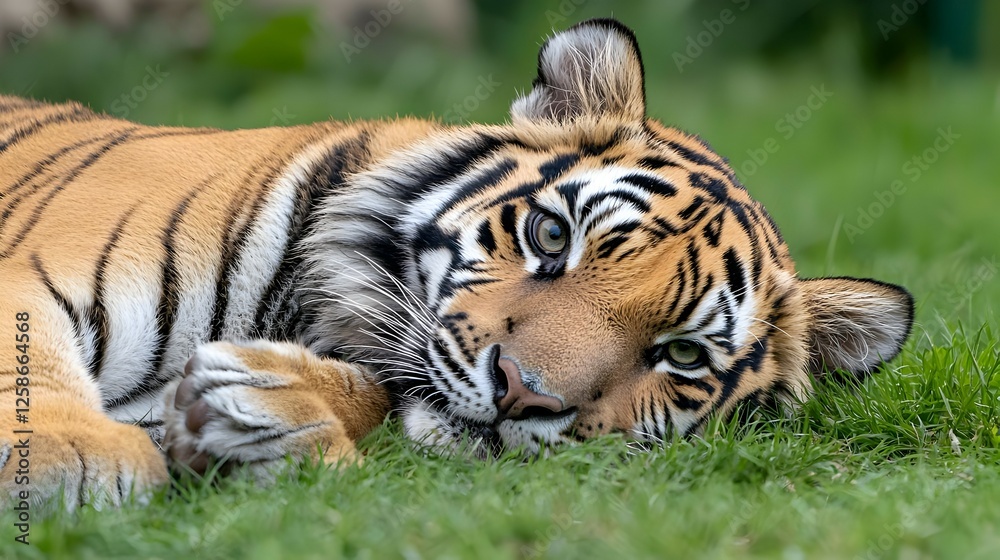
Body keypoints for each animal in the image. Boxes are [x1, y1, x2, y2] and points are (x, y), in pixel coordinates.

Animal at [0, 18, 914, 511]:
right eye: (552, 237)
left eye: (681, 355)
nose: (521, 394)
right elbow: (31, 356)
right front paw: (76, 459)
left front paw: (267, 414)